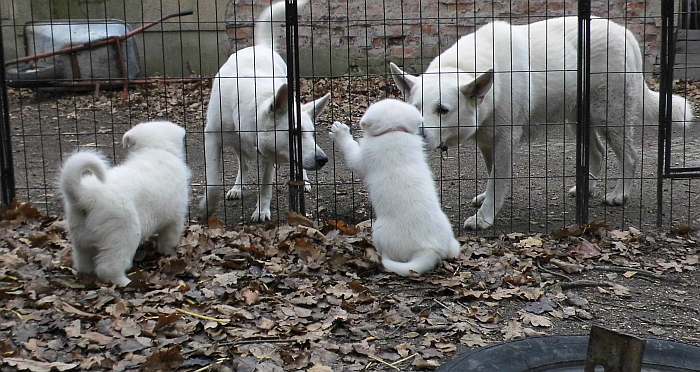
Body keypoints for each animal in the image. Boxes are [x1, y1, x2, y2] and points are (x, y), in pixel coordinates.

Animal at [59, 120, 191, 286]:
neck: (155, 150)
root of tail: (87, 196)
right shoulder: (175, 218)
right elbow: (169, 239)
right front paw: (170, 253)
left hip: (80, 240)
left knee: (84, 263)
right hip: (123, 234)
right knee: (108, 268)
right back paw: (125, 282)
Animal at [200, 0, 330, 221]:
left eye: (312, 134)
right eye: (295, 134)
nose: (323, 160)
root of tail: (260, 46)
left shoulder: (268, 152)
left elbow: (265, 184)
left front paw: (261, 210)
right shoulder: (212, 138)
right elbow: (214, 182)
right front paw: (207, 206)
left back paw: (303, 180)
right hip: (235, 142)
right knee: (243, 163)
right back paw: (238, 186)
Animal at [330, 99, 462, 276]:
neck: (394, 131)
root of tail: (431, 250)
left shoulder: (362, 158)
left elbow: (351, 151)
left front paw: (340, 132)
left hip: (379, 230)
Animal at [392, 16, 692, 230]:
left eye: (442, 110)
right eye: (415, 110)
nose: (416, 136)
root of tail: (625, 32)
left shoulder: (505, 141)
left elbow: (497, 180)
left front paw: (484, 218)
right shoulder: (488, 143)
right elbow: (491, 176)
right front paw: (487, 201)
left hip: (611, 119)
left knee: (629, 156)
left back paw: (619, 194)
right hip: (579, 121)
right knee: (597, 153)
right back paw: (586, 189)